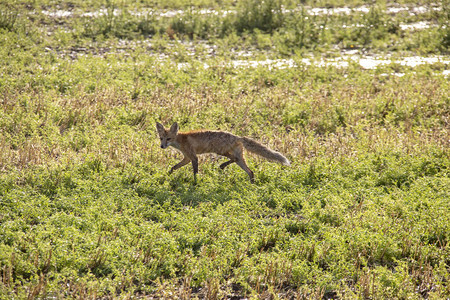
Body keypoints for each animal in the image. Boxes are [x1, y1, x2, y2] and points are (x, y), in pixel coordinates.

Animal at [156, 122, 290, 183]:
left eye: (168, 139)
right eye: (161, 138)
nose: (162, 146)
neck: (181, 140)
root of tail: (237, 137)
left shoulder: (193, 157)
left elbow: (195, 172)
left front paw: (195, 183)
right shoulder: (187, 158)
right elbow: (173, 167)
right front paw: (167, 175)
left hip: (222, 152)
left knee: (234, 159)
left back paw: (222, 166)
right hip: (239, 158)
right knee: (250, 171)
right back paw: (252, 184)